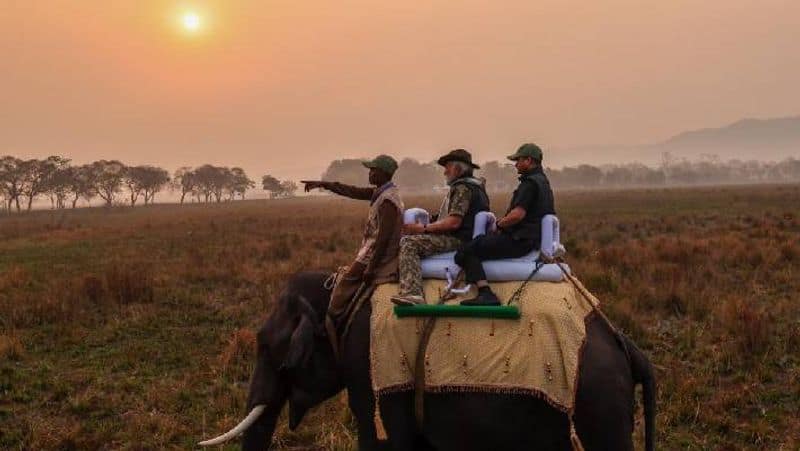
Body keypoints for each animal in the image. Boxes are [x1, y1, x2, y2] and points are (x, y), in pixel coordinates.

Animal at [200, 272, 656, 451]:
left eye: (267, 348)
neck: (341, 292)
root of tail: (626, 344)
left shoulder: (368, 367)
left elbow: (383, 439)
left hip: (598, 405)